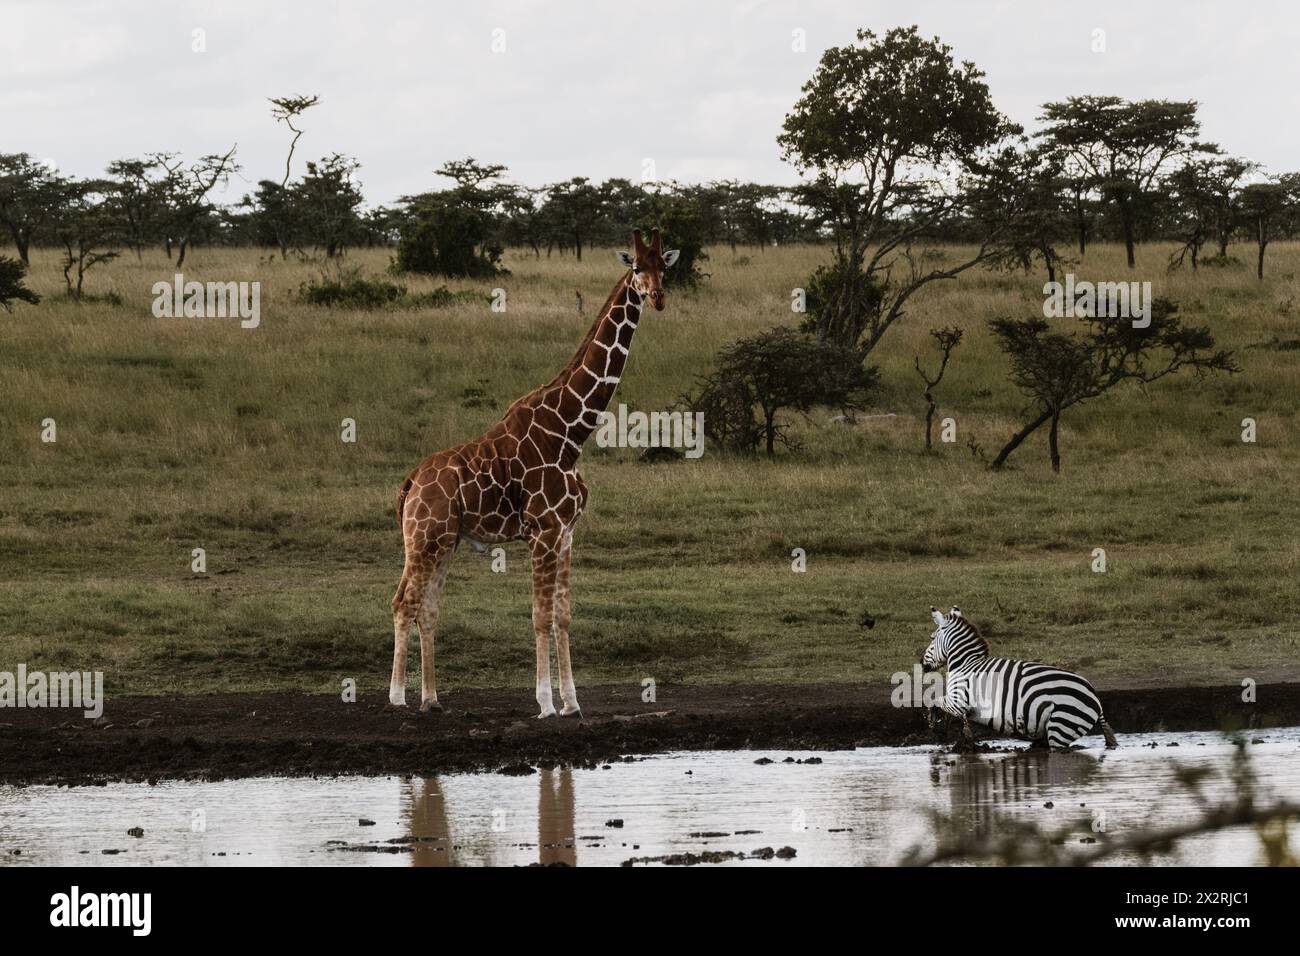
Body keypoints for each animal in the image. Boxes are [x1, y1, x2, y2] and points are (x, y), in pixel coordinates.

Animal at [390, 228, 680, 718]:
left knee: (427, 608)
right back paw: (396, 697)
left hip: (445, 542)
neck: (571, 433)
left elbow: (562, 615)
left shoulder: (566, 533)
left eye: (665, 266)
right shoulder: (542, 531)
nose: (657, 297)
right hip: (423, 538)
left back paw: (430, 699)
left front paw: (572, 702)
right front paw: (545, 702)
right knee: (402, 602)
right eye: (637, 267)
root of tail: (409, 483)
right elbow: (540, 615)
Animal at [922, 605, 1118, 751]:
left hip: (1062, 727)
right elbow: (960, 719)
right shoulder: (963, 707)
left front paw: (935, 727)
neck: (966, 663)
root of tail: (1095, 698)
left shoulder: (958, 700)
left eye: (932, 638)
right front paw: (964, 739)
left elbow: (934, 702)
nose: (922, 664)